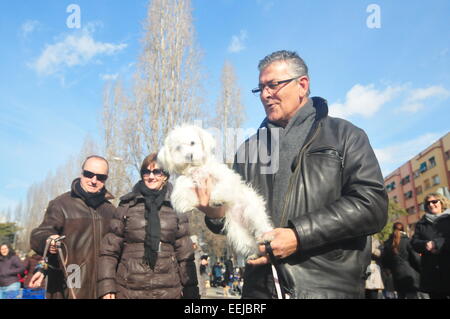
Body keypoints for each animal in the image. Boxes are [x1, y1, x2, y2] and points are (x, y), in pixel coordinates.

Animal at [158, 124, 274, 258]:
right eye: (178, 148)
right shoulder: (187, 181)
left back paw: (266, 236)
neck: (197, 169)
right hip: (238, 233)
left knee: (261, 224)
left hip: (252, 210)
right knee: (249, 244)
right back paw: (254, 254)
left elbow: (223, 185)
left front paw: (217, 199)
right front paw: (184, 203)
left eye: (192, 142)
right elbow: (181, 190)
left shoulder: (225, 176)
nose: (189, 156)